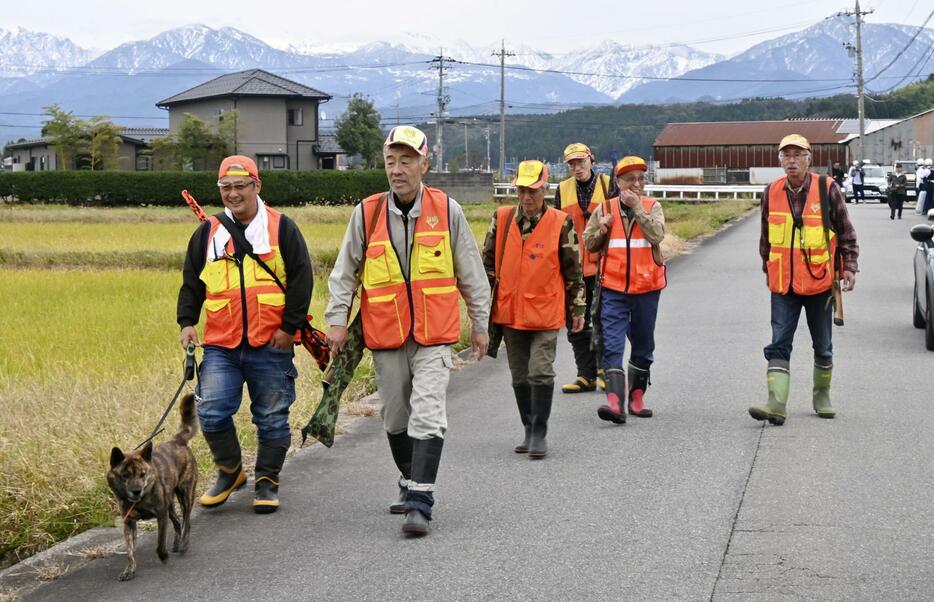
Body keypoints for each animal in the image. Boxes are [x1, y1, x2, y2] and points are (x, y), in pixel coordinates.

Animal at [108, 392, 199, 580]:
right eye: (125, 475)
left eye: (143, 474)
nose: (136, 491)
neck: (140, 501)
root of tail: (177, 441)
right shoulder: (129, 523)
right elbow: (130, 551)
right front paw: (129, 570)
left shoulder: (161, 515)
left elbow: (159, 541)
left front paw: (163, 555)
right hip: (170, 503)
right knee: (177, 521)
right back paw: (177, 543)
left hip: (185, 495)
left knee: (186, 520)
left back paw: (184, 543)